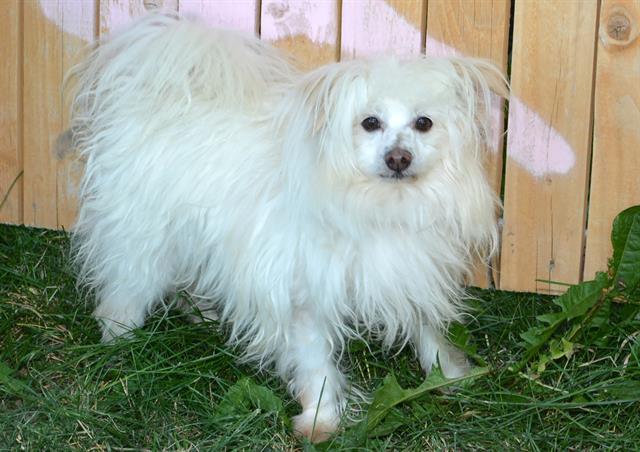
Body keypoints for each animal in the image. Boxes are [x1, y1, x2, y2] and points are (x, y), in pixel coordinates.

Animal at [69, 13, 504, 442]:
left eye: (424, 123)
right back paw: (119, 340)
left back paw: (201, 313)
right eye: (370, 123)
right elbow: (316, 365)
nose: (399, 157)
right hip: (144, 243)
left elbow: (429, 333)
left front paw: (450, 376)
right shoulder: (305, 299)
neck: (378, 205)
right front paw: (321, 419)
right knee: (124, 291)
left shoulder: (408, 274)